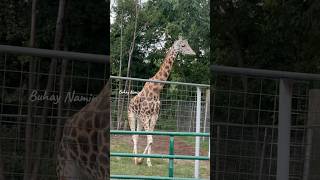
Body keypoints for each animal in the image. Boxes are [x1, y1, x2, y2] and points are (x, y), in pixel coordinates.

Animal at [127, 35, 195, 167]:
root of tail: (130, 102)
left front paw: (147, 161)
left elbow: (150, 139)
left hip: (139, 119)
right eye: (183, 45)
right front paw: (140, 160)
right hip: (132, 116)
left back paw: (135, 157)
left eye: (188, 43)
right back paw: (134, 159)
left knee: (137, 135)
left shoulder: (154, 116)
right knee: (133, 136)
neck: (156, 89)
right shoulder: (145, 115)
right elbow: (150, 139)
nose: (193, 53)